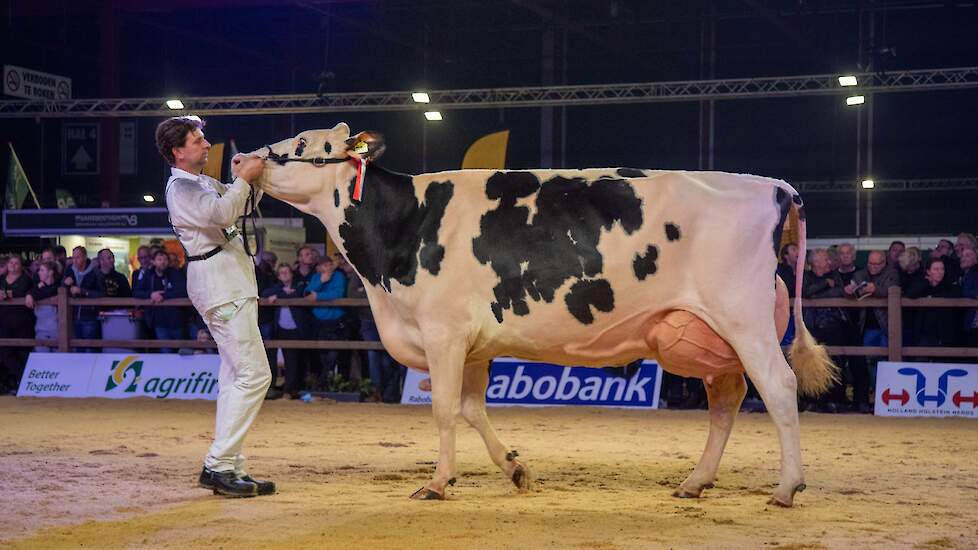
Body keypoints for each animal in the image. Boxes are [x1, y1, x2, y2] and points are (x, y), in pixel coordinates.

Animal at [248, 124, 836, 508]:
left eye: (300, 147)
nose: (242, 159)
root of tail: (773, 186)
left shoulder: (443, 332)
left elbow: (443, 410)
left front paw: (438, 483)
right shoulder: (474, 344)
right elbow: (471, 409)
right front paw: (515, 468)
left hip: (744, 320)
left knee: (778, 387)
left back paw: (787, 488)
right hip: (709, 333)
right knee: (727, 400)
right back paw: (695, 482)